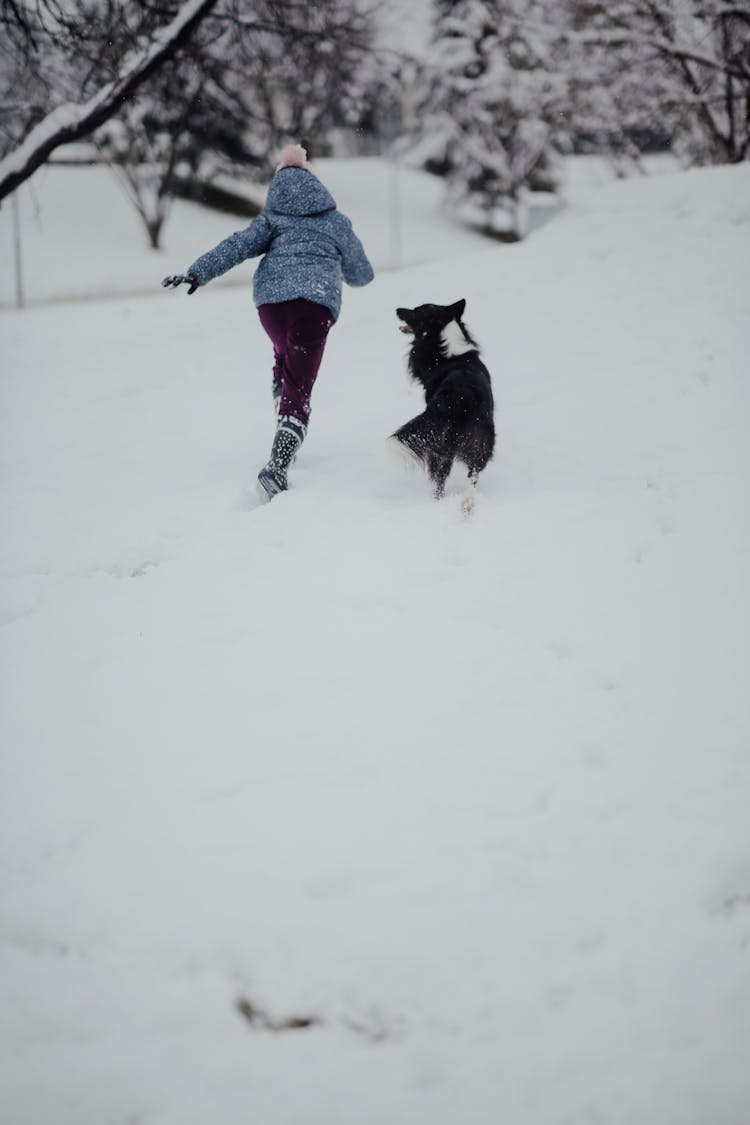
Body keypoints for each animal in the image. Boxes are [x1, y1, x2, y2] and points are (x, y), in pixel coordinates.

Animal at [391, 299, 494, 510]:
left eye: (415, 311)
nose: (397, 310)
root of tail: (459, 397)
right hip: (481, 441)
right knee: (473, 473)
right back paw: (467, 505)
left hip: (442, 447)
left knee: (440, 477)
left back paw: (436, 500)